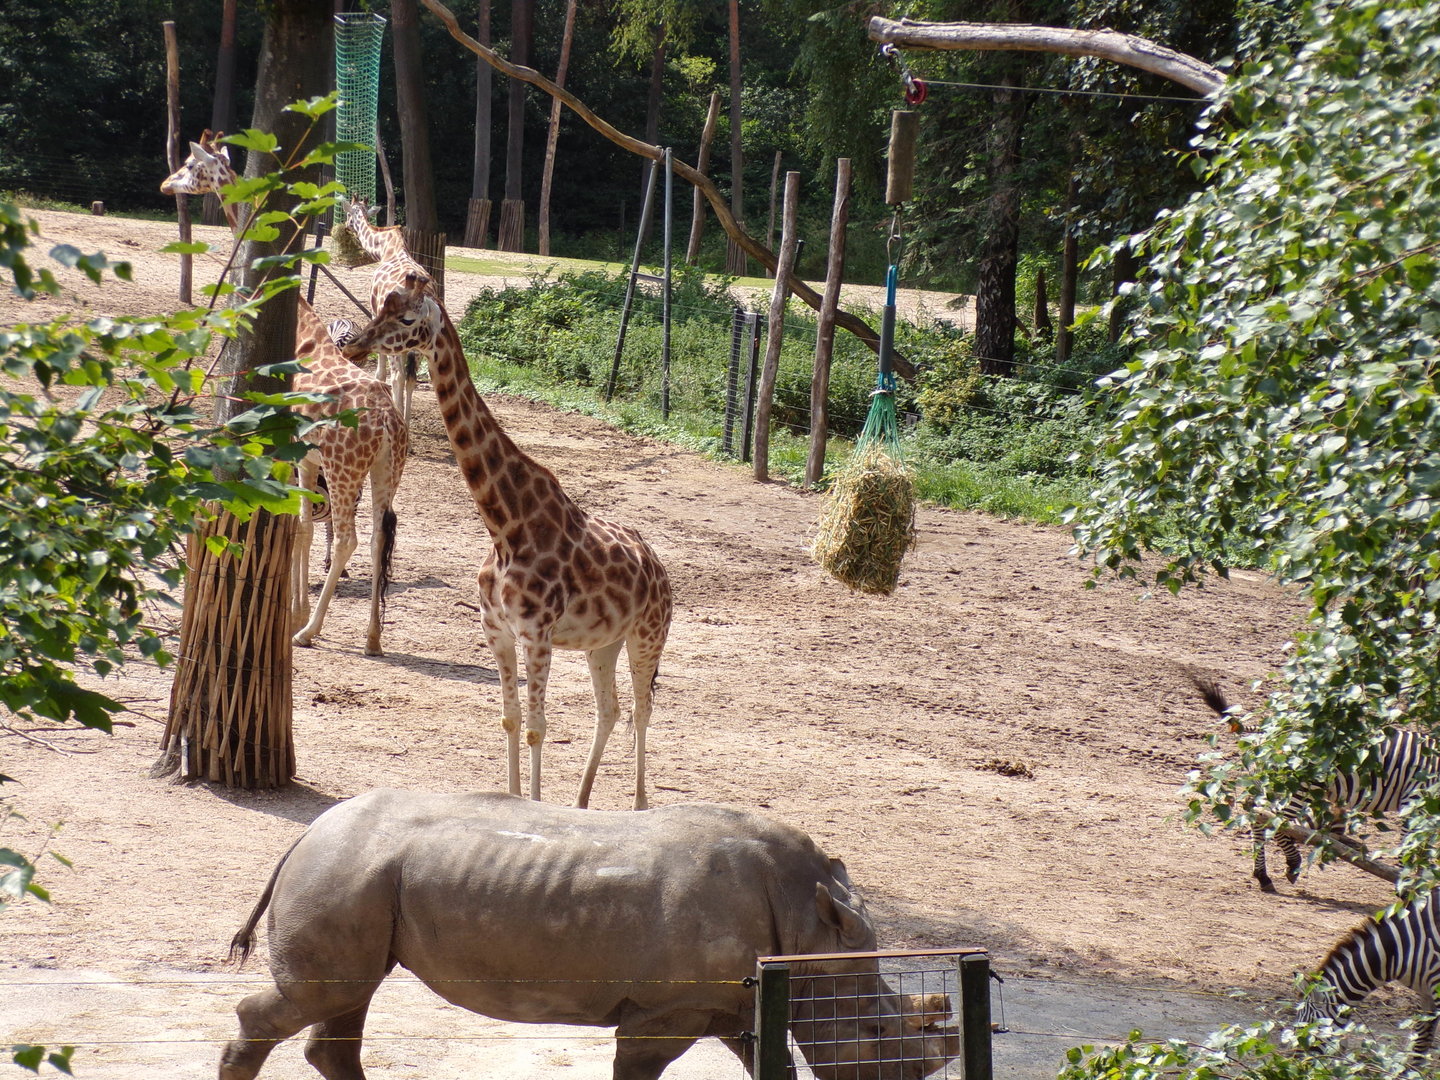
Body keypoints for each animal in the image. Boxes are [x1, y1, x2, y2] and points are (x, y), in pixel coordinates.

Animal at [218, 790, 961, 1080]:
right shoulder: (668, 1008)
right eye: (874, 1032)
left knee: (348, 997)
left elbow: (768, 1062)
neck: (811, 928)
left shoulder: (735, 999)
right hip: (344, 872)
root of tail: (306, 834)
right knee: (323, 995)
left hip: (360, 877)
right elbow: (638, 1067)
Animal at [340, 287, 674, 810]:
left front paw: (534, 806)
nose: (355, 345)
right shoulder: (495, 628)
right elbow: (511, 719)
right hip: (604, 642)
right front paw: (516, 799)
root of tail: (658, 566)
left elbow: (538, 726)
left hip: (648, 634)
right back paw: (580, 803)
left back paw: (639, 806)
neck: (505, 527)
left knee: (642, 710)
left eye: (408, 318)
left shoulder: (537, 632)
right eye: (380, 308)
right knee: (611, 709)